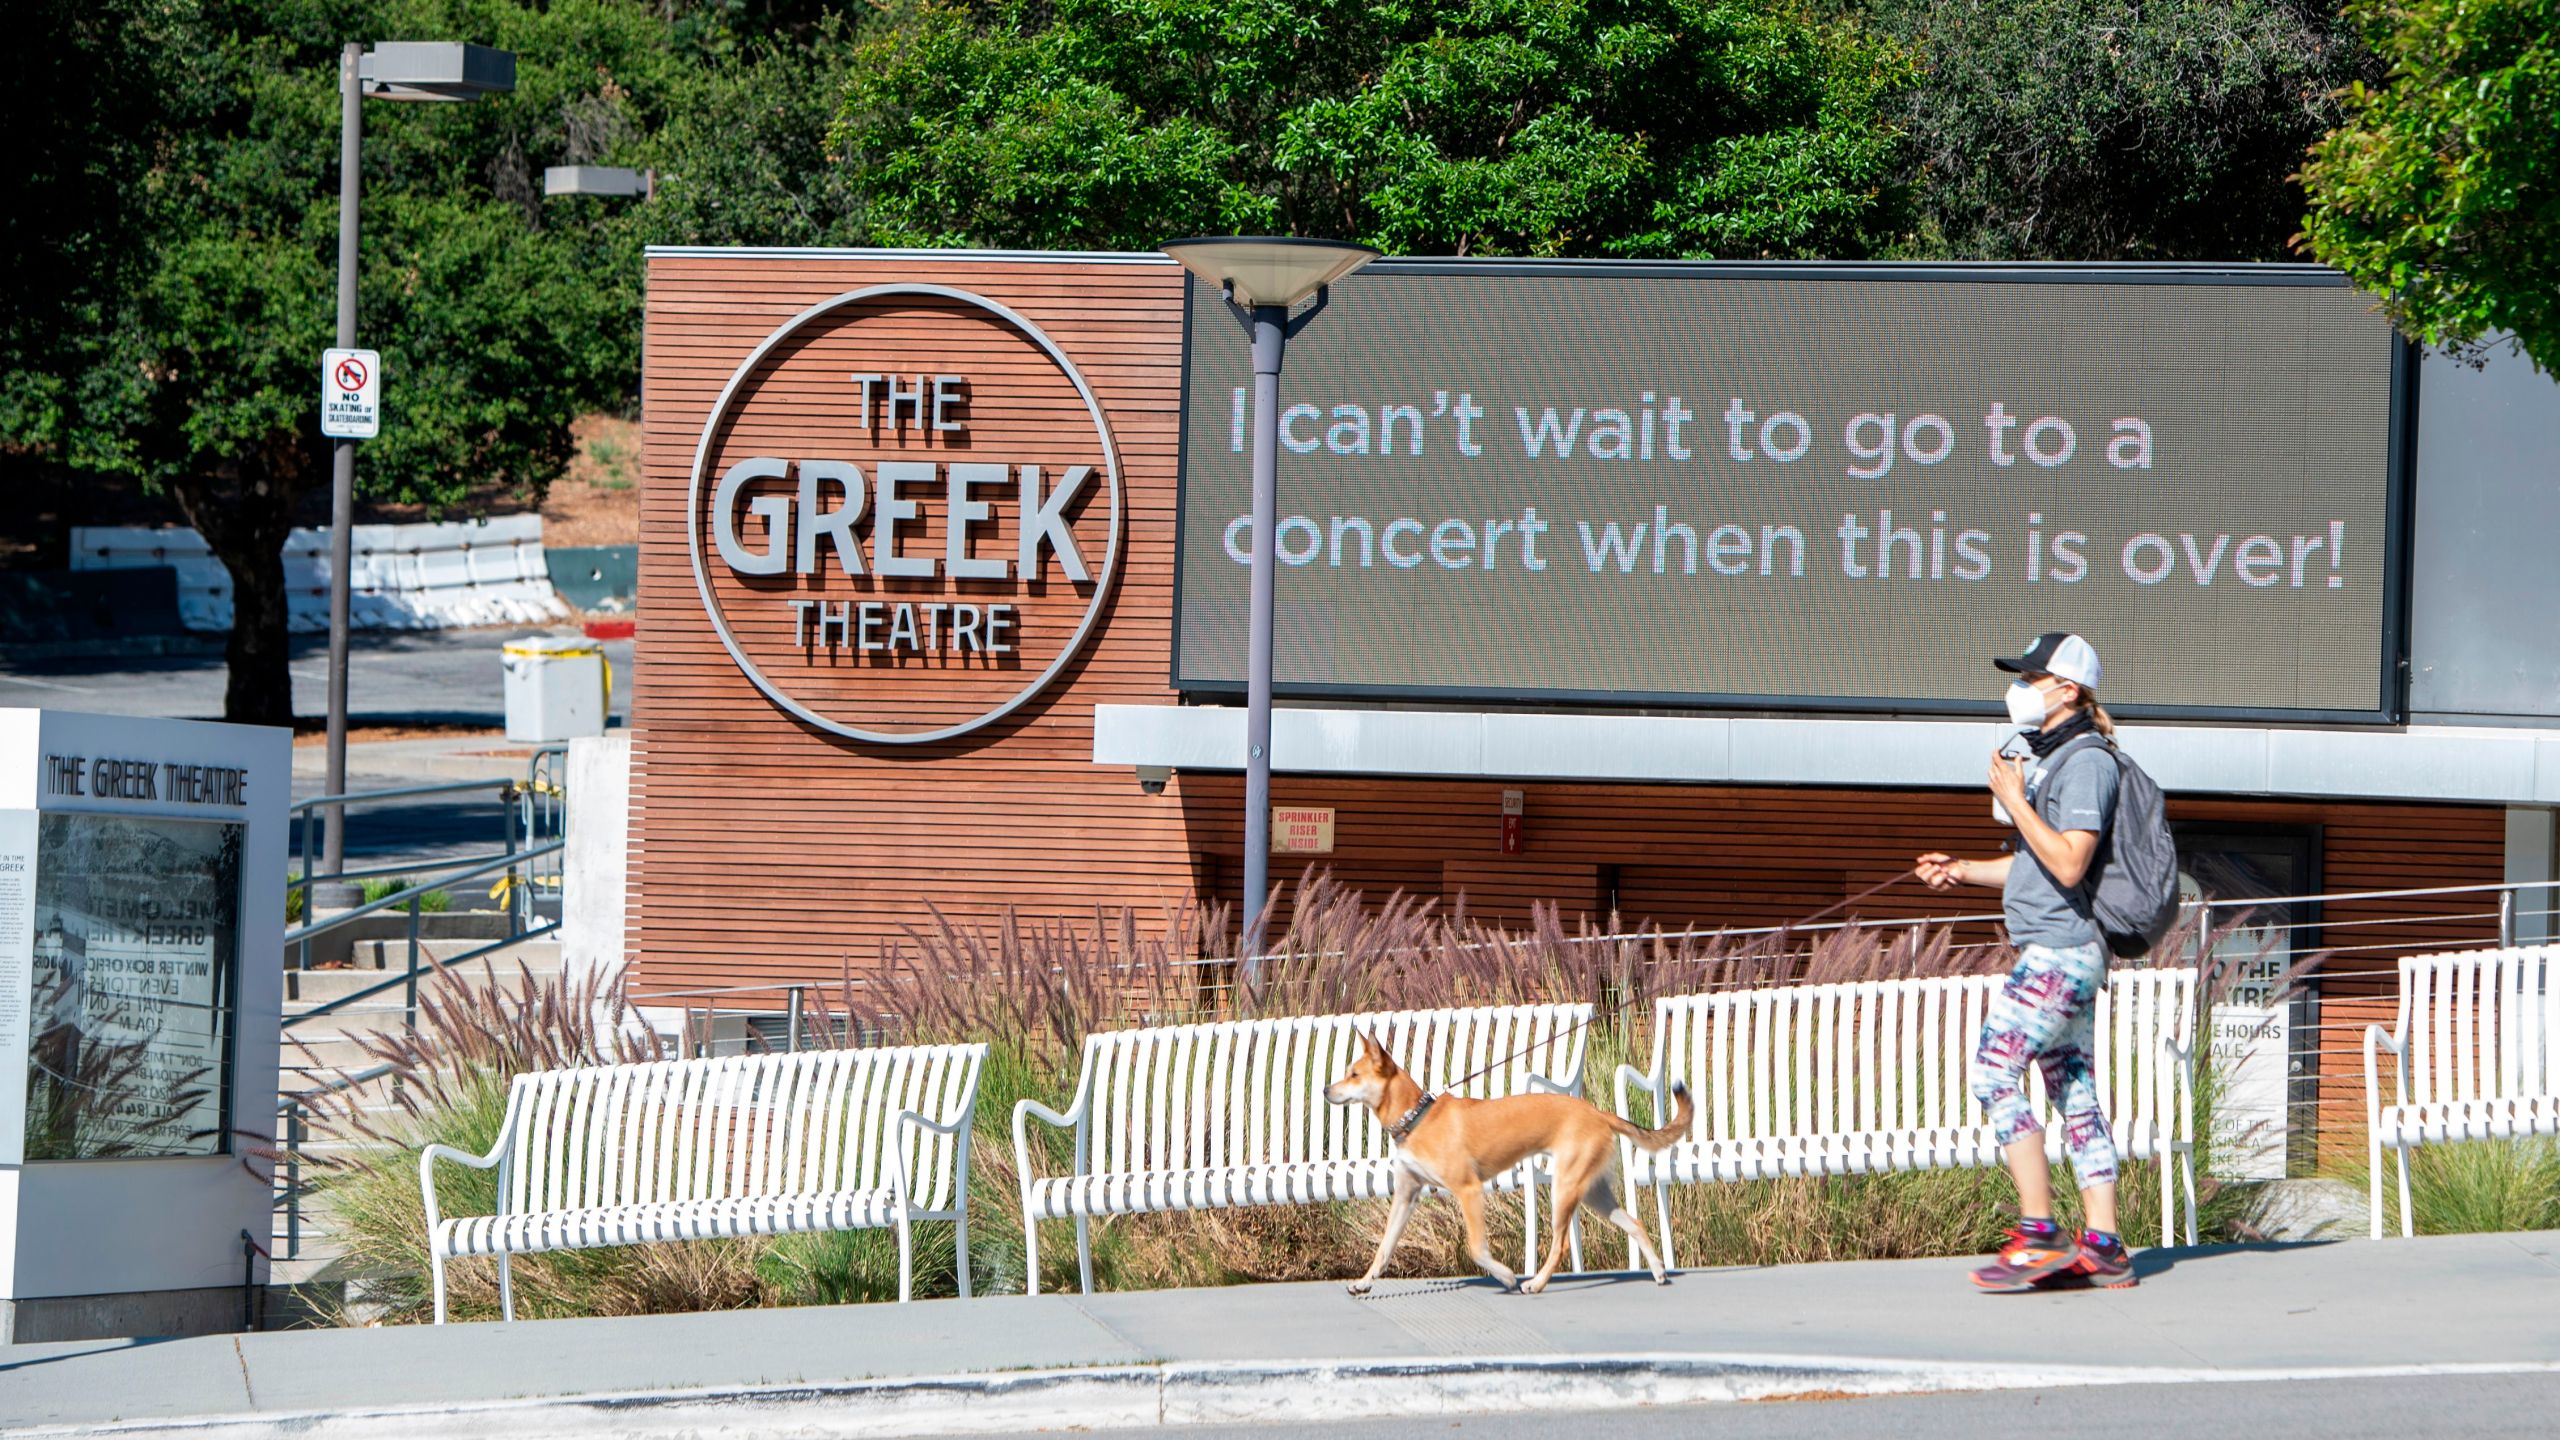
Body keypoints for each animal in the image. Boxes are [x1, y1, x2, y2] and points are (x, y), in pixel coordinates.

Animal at [1320, 1030, 1699, 1291]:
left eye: (1354, 1075)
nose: (1325, 1090)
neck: (1417, 1119)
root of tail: (1598, 1113)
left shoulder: (1468, 1191)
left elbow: (1476, 1249)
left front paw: (1505, 1277)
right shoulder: (1406, 1196)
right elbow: (1384, 1248)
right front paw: (1364, 1283)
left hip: (1564, 1190)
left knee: (1561, 1245)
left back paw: (1536, 1283)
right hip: (1593, 1192)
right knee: (1635, 1224)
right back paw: (1658, 1272)